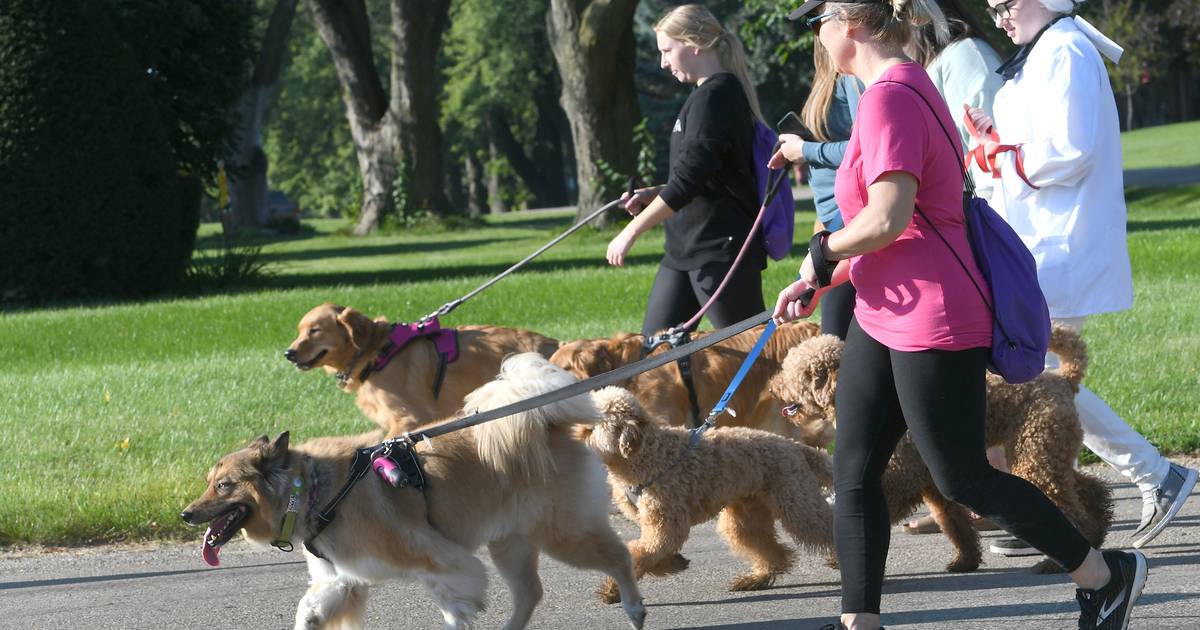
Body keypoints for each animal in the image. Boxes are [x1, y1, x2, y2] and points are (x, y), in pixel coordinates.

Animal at [181, 352, 648, 628]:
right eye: (208, 483)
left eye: (223, 486)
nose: (185, 515)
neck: (313, 491)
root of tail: (548, 422)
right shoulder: (343, 578)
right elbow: (308, 609)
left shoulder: (438, 558)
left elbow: (454, 601)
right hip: (510, 542)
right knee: (531, 593)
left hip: (562, 535)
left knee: (619, 556)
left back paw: (634, 606)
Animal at [580, 384, 835, 600]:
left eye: (588, 429)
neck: (647, 453)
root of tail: (795, 446)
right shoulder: (655, 523)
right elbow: (648, 550)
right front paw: (674, 563)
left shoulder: (666, 523)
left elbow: (641, 552)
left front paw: (614, 590)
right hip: (746, 516)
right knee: (775, 553)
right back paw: (755, 579)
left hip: (797, 504)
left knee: (825, 526)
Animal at [772, 324, 1108, 573]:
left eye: (798, 374)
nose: (774, 386)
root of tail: (1063, 380)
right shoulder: (933, 483)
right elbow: (955, 523)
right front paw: (965, 561)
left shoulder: (901, 478)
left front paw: (838, 555)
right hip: (1045, 451)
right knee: (1086, 487)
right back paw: (1100, 525)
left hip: (1035, 452)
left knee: (1069, 507)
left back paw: (1063, 556)